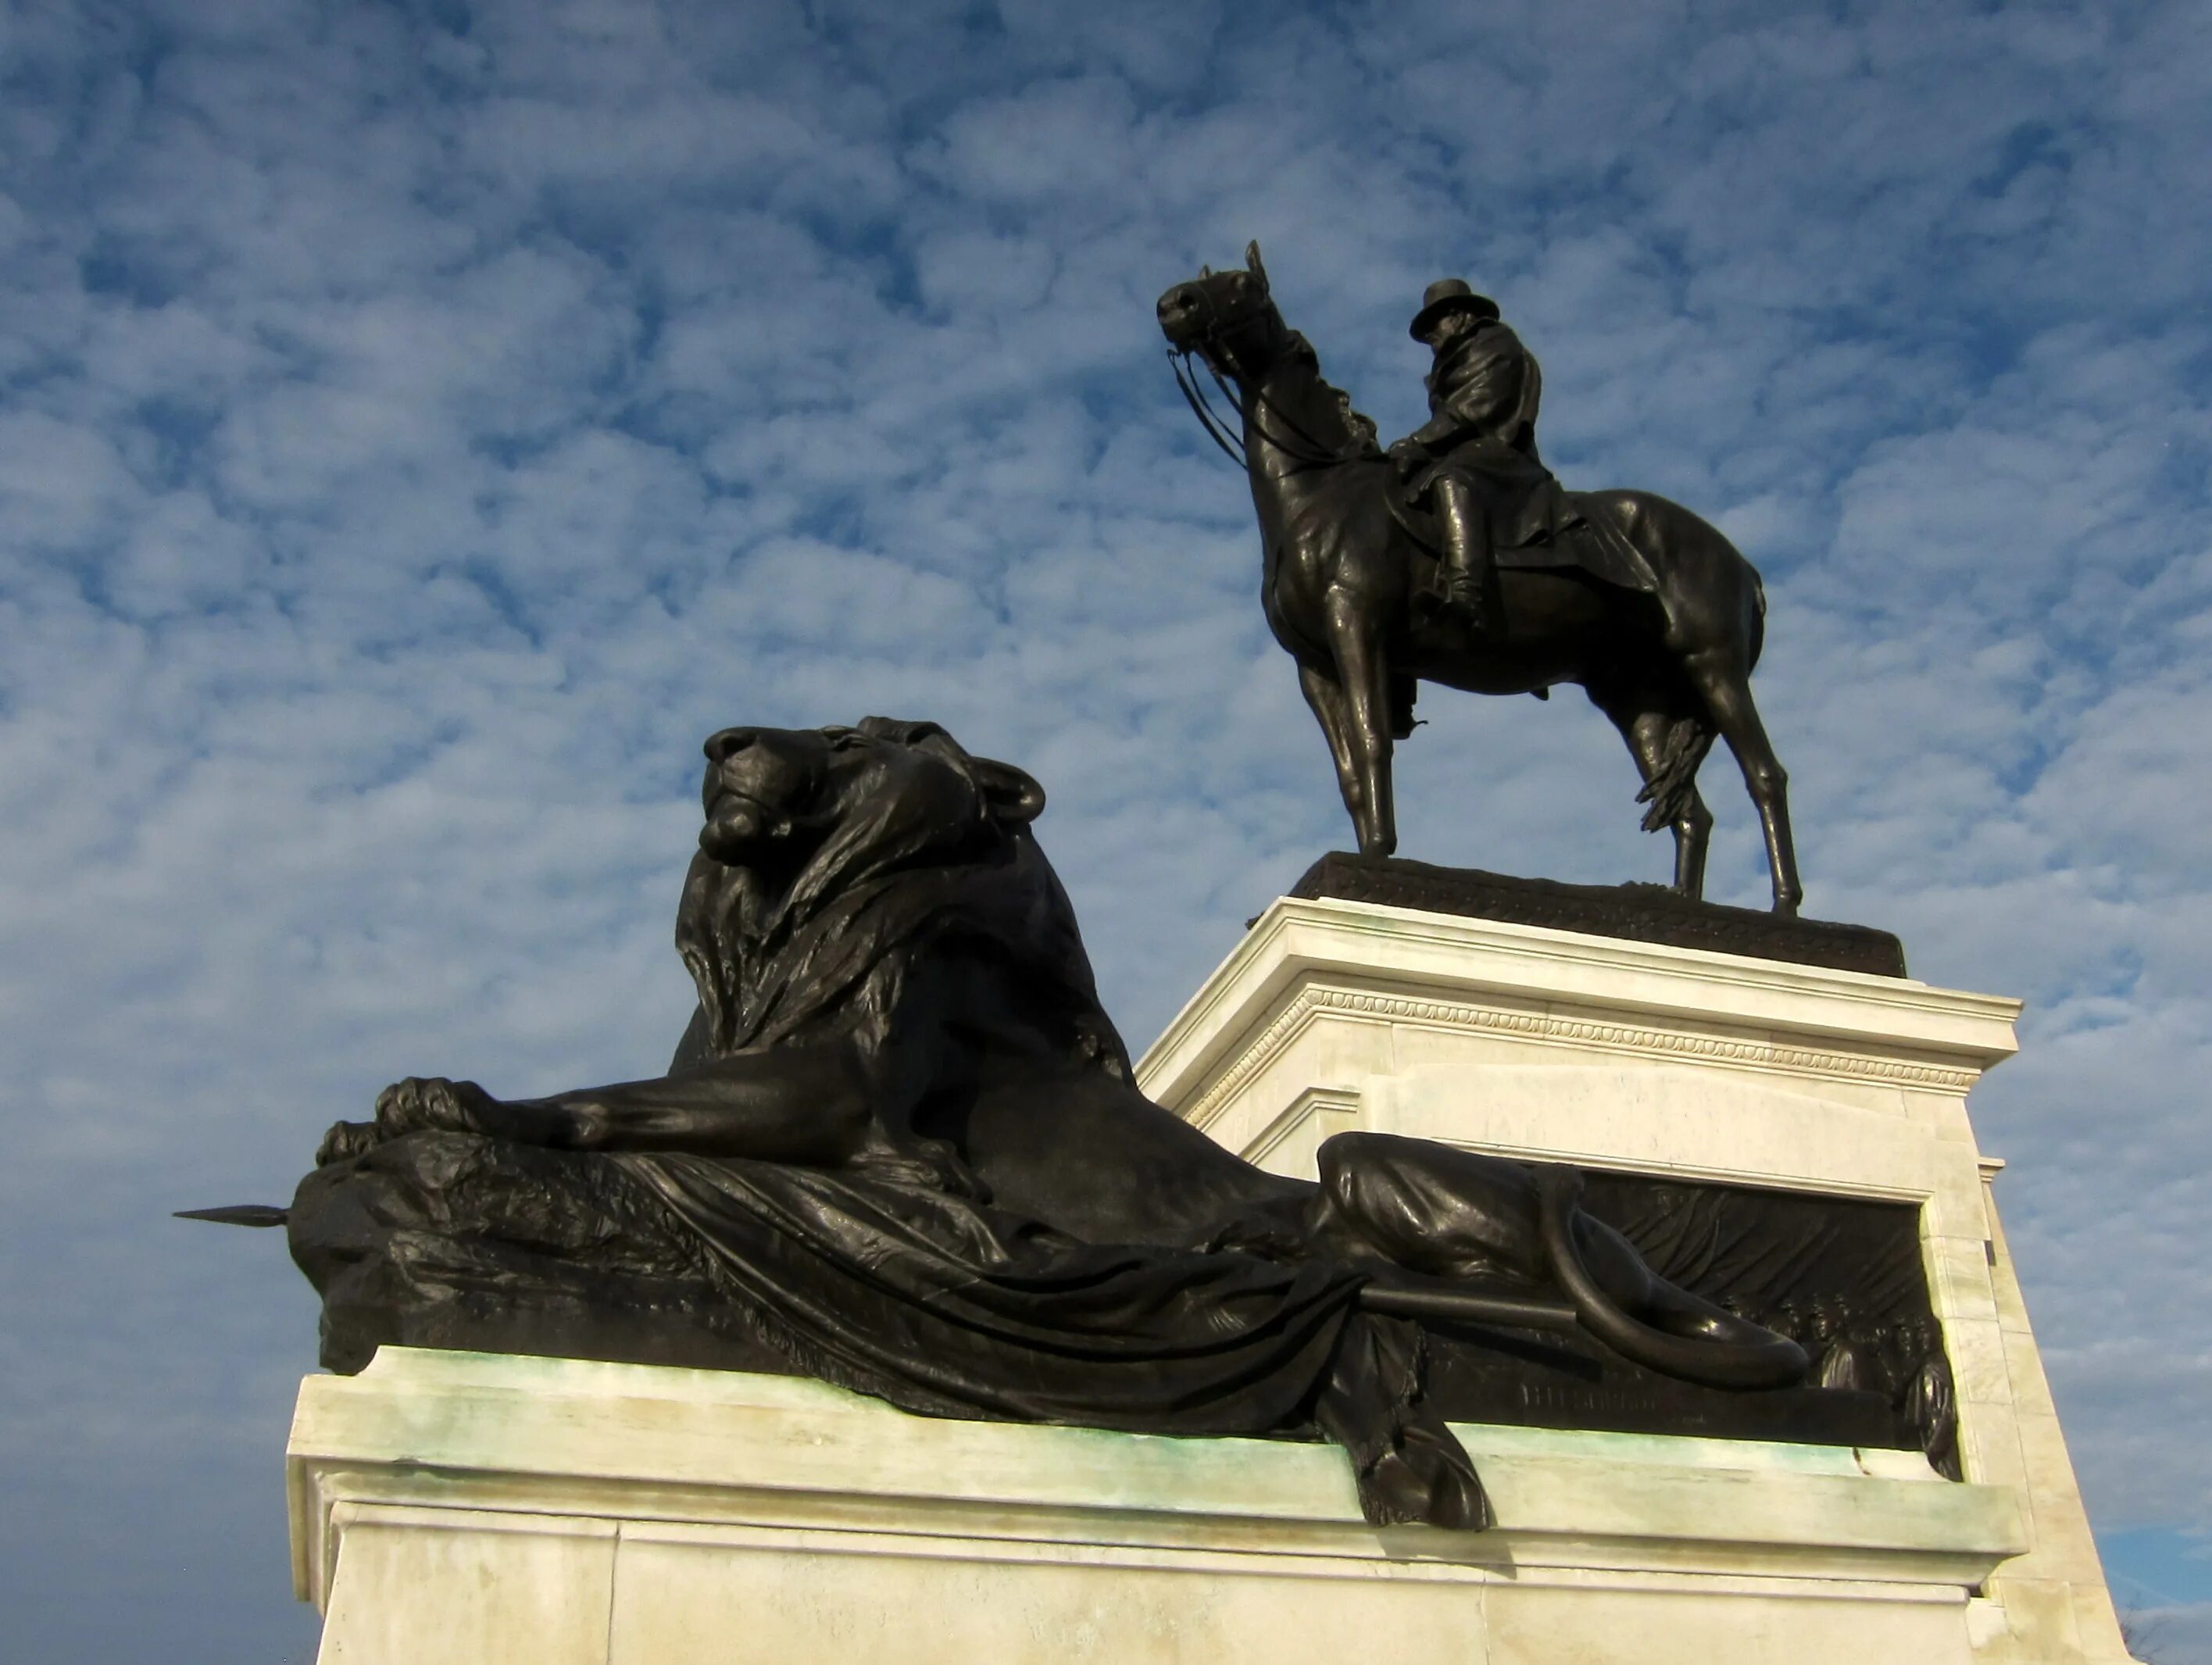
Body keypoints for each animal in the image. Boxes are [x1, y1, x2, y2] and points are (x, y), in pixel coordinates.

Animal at [289, 716, 1796, 1521]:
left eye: (856, 736)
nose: (724, 745)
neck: (793, 917)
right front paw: (385, 1135)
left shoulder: (840, 1084)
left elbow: (621, 1104)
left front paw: (456, 1105)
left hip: (1368, 1162)